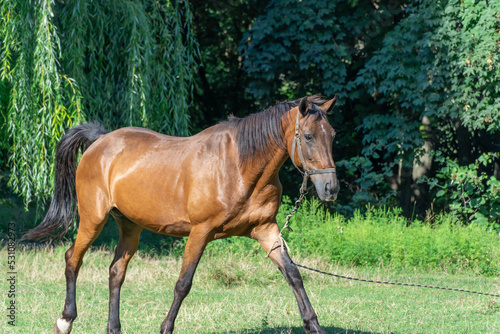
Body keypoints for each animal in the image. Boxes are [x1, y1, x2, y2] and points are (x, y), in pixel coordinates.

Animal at [22, 95, 336, 332]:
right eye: (309, 136)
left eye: (332, 135)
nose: (330, 188)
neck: (239, 166)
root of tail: (100, 141)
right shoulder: (200, 232)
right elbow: (183, 284)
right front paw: (165, 327)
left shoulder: (265, 230)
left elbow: (293, 274)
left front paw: (313, 325)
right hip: (92, 220)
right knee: (72, 260)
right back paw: (65, 320)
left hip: (130, 227)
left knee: (116, 272)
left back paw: (113, 327)